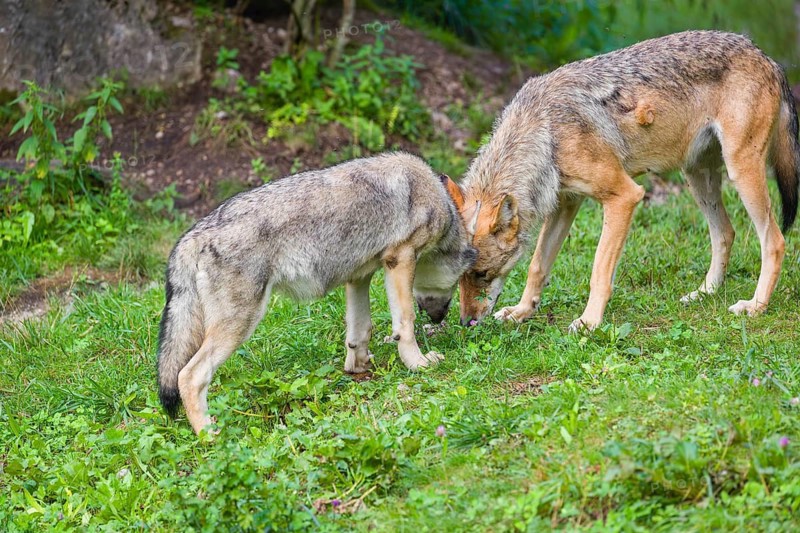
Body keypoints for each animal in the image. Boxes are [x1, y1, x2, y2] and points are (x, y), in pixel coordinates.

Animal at [157, 153, 476, 434]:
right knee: (188, 376)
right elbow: (405, 323)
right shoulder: (400, 260)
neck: (435, 196)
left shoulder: (358, 276)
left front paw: (358, 367)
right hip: (240, 325)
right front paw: (418, 364)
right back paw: (209, 435)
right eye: (465, 278)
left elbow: (360, 331)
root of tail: (194, 235)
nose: (440, 319)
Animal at [449, 30, 798, 331]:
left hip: (740, 172)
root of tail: (765, 56)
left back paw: (755, 306)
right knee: (725, 233)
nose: (466, 323)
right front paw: (522, 312)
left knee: (775, 241)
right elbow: (538, 266)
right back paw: (704, 293)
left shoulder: (624, 196)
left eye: (482, 273)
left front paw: (589, 322)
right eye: (459, 278)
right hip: (697, 177)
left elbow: (599, 270)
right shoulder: (566, 204)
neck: (545, 132)